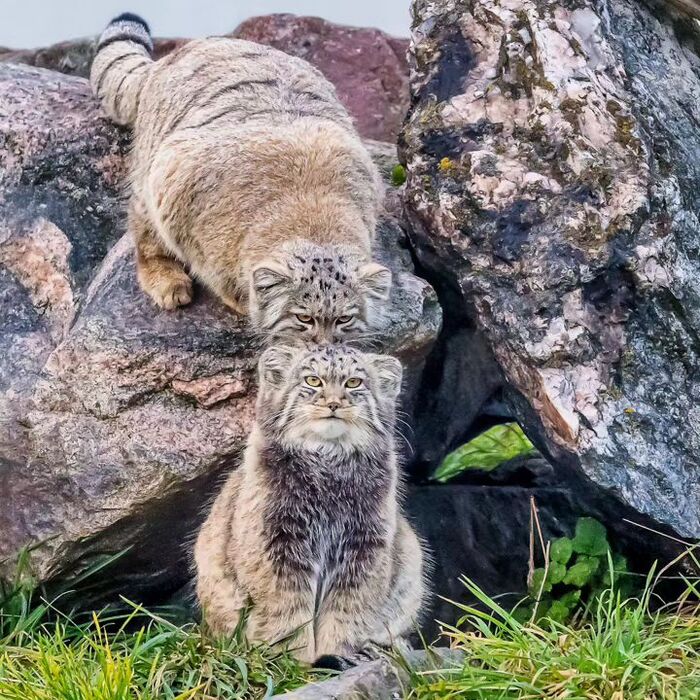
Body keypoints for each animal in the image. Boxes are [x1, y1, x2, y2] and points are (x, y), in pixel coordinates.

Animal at [90, 15, 392, 344]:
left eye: (344, 319)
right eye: (303, 318)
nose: (325, 345)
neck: (310, 211)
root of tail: (177, 53)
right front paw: (244, 302)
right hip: (154, 168)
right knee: (145, 233)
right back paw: (167, 280)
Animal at [196, 344, 426, 660]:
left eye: (354, 382)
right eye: (313, 381)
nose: (333, 403)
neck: (327, 460)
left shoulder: (365, 546)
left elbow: (347, 608)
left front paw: (339, 652)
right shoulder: (276, 543)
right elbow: (286, 609)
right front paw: (291, 657)